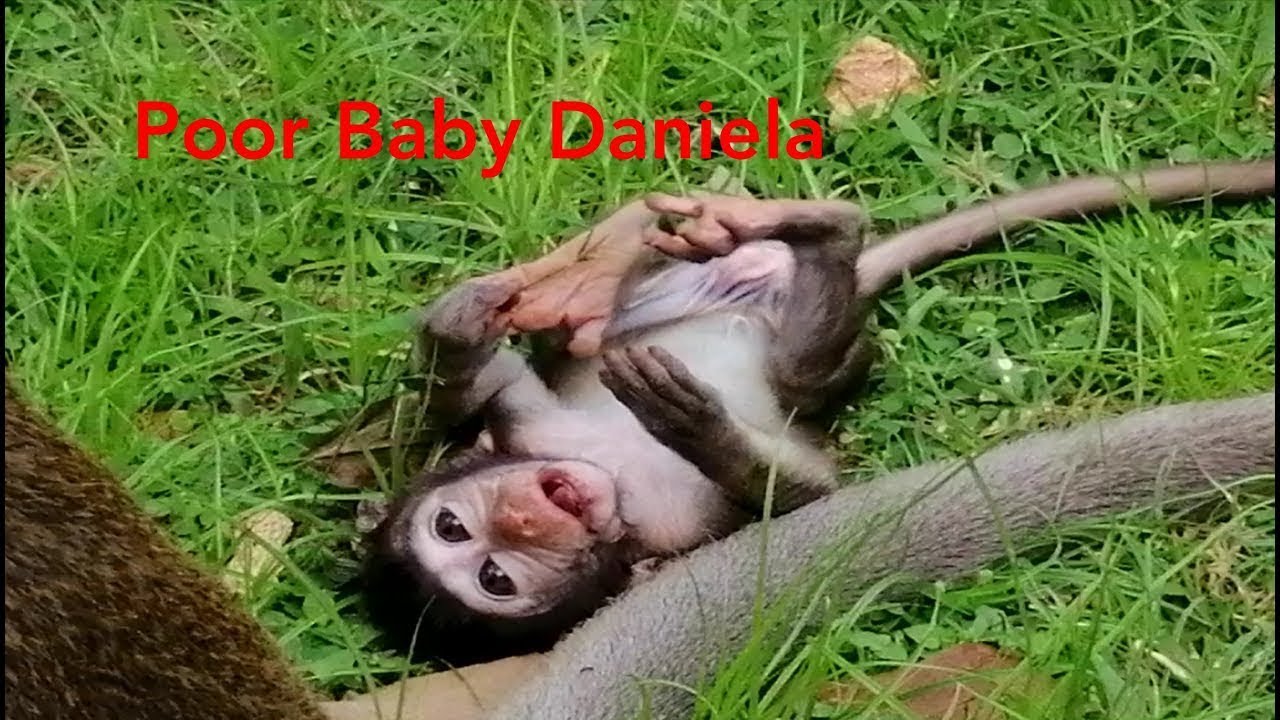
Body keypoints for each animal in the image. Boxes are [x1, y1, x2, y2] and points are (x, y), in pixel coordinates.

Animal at [362, 156, 1276, 666]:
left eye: (456, 526)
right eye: (493, 578)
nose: (522, 515)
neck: (611, 475)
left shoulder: (528, 427)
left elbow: (486, 391)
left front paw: (458, 331)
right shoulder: (667, 546)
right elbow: (810, 504)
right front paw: (697, 428)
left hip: (664, 290)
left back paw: (767, 229)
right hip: (830, 358)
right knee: (803, 371)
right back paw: (829, 241)